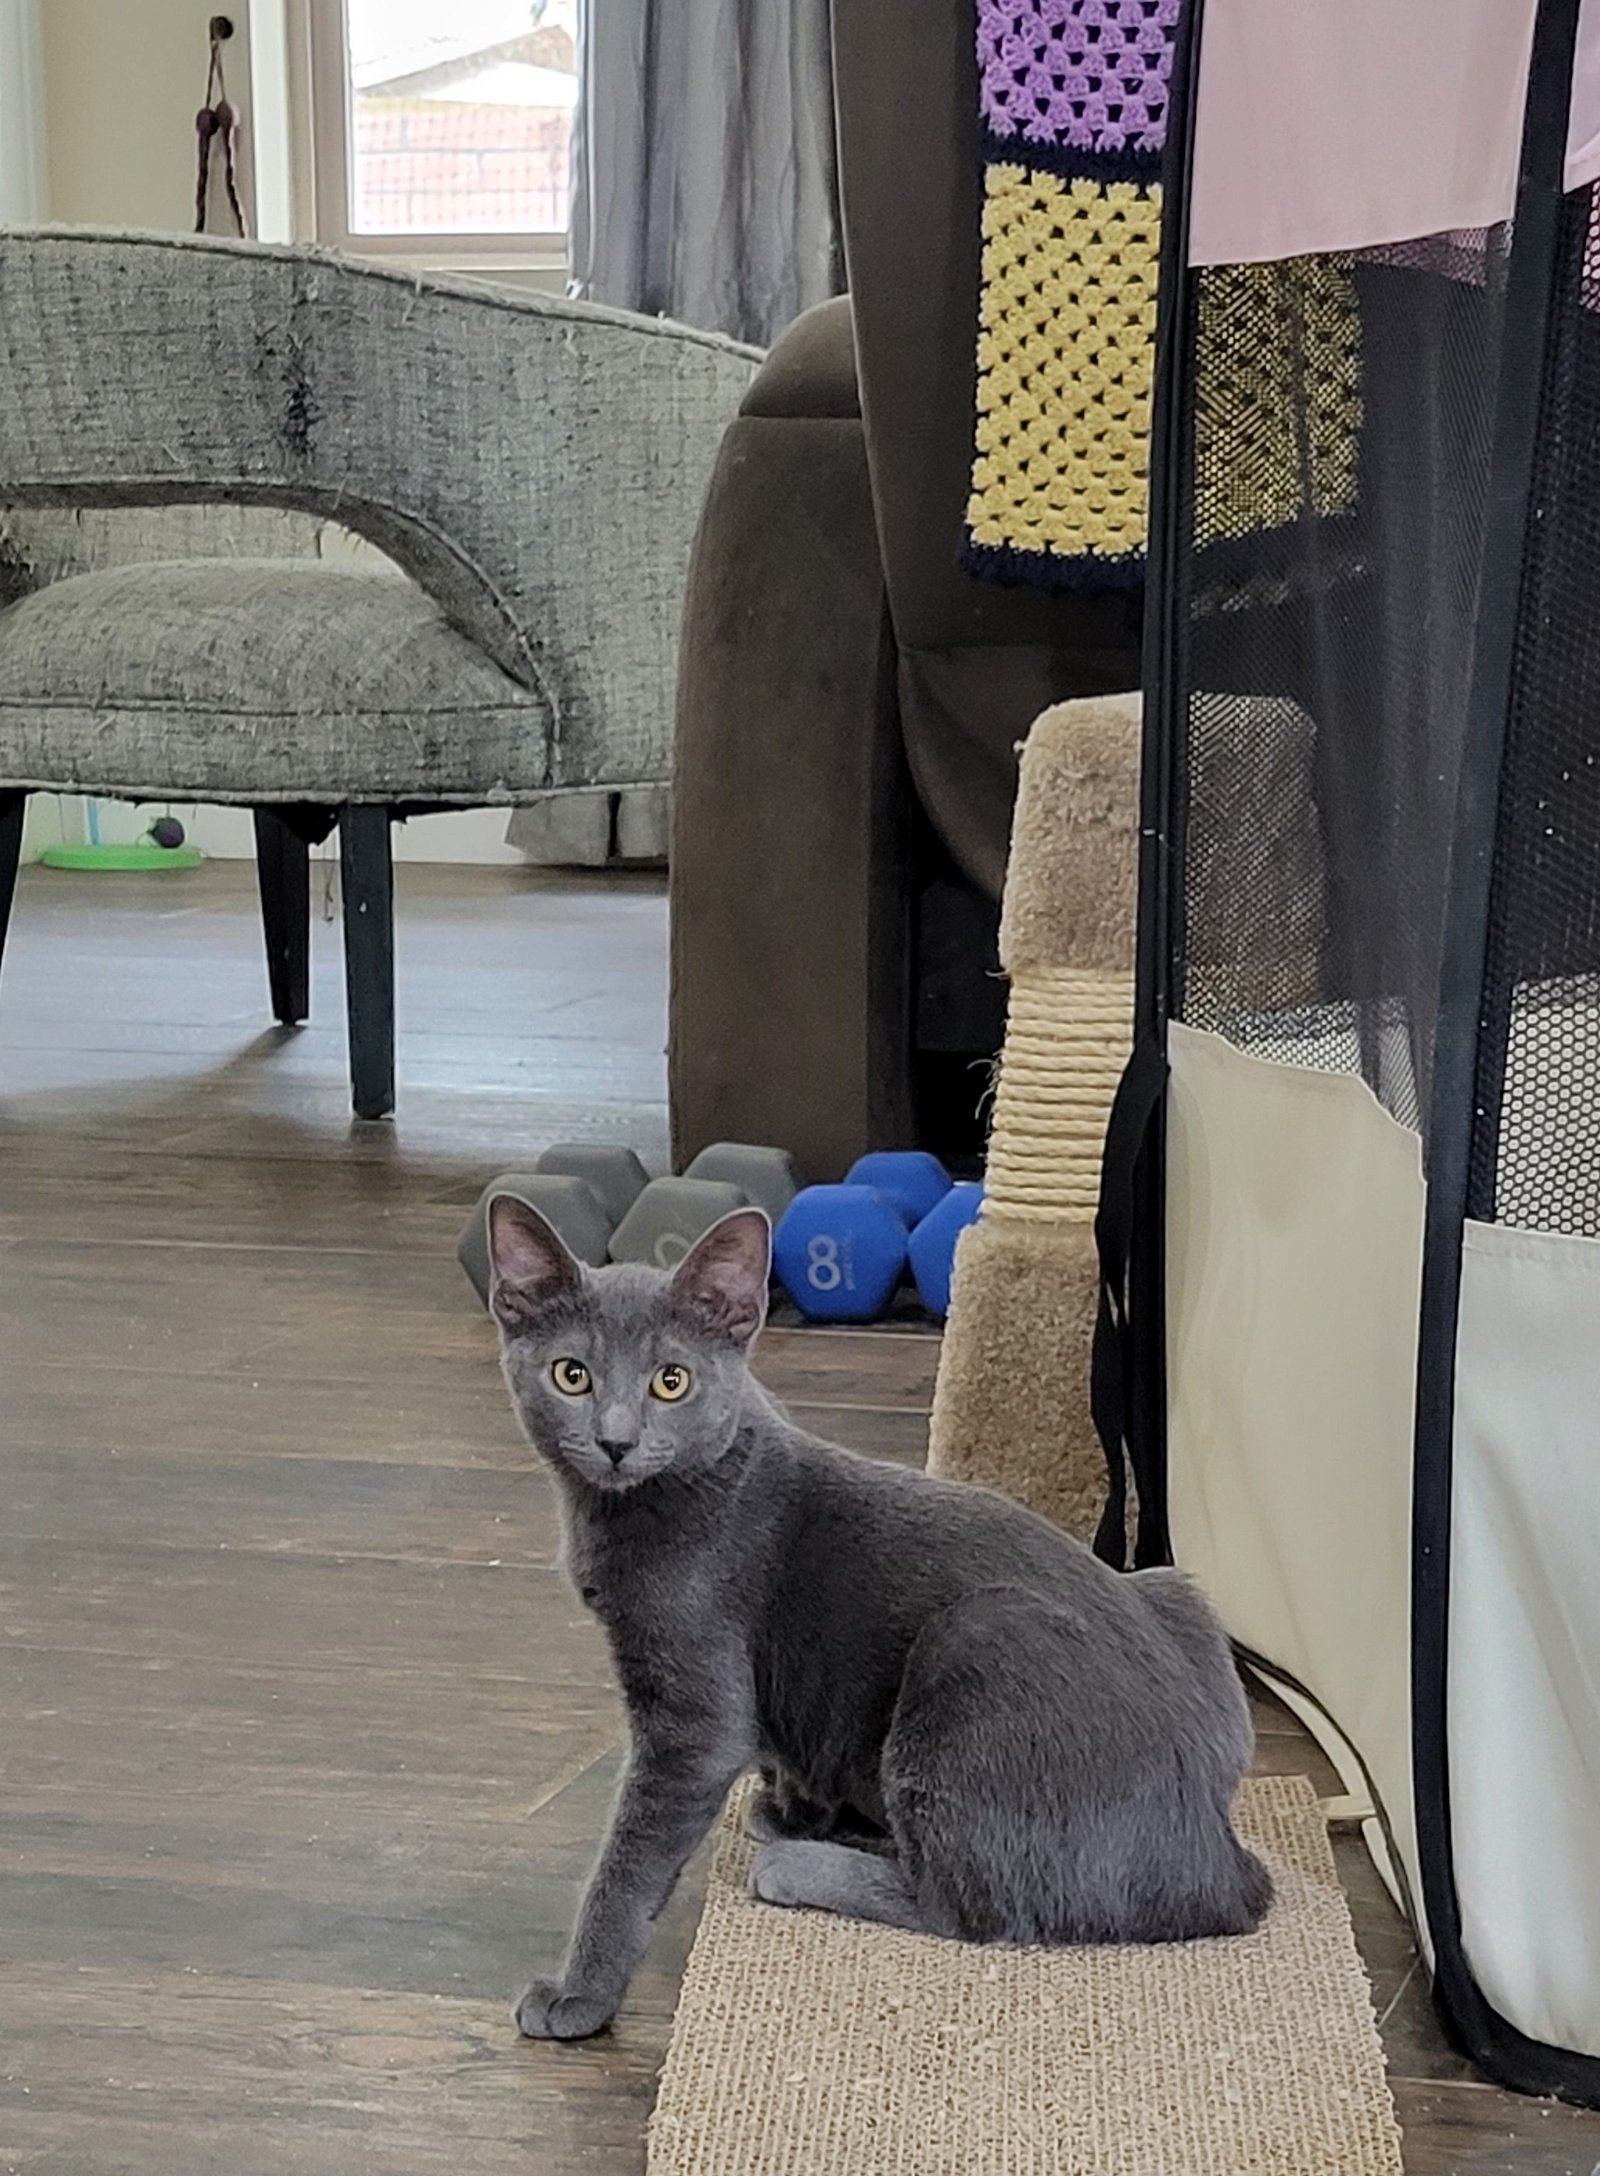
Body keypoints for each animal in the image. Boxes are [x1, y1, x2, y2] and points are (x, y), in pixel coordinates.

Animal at [487, 1196, 1271, 2042]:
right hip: (1173, 1588)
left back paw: (800, 1869)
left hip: (978, 1640)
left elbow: (630, 1862)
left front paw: (579, 1996)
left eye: (671, 1382)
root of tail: (1221, 1861)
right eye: (572, 1375)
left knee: (971, 1907)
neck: (622, 1513)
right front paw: (795, 1809)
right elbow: (787, 1749)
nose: (616, 1440)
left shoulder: (691, 1711)